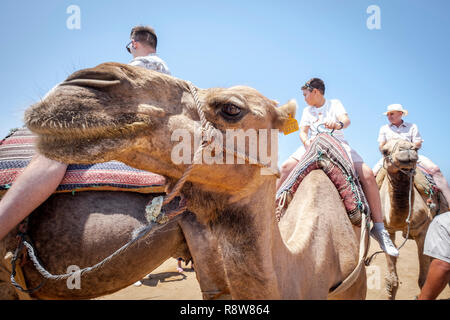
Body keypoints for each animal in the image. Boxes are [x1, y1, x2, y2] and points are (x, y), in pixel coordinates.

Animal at [376, 140, 446, 300]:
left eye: (416, 148)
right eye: (384, 151)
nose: (407, 149)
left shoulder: (423, 232)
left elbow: (424, 281)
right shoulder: (388, 230)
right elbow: (392, 281)